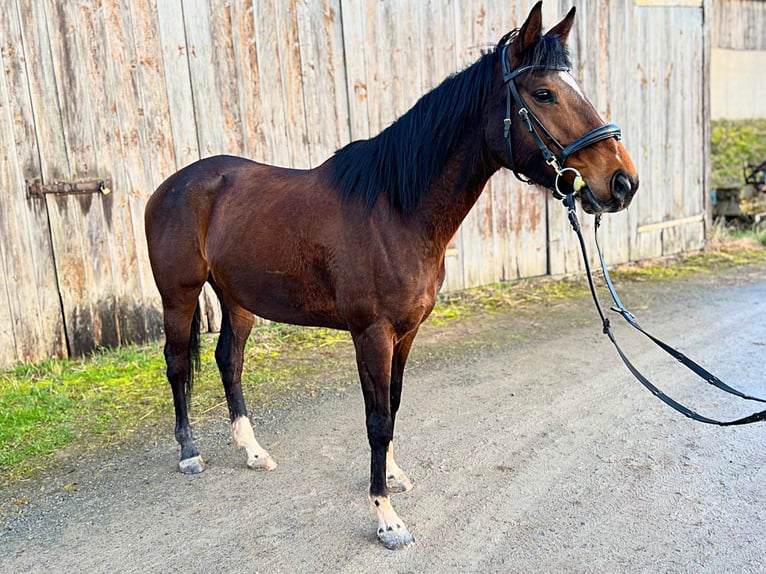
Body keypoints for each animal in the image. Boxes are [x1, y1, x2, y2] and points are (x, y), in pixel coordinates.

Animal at [146, 3, 640, 552]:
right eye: (544, 93)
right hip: (179, 295)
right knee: (177, 364)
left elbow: (395, 405)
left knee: (228, 362)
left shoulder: (406, 332)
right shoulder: (372, 334)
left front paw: (394, 478)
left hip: (238, 300)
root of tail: (173, 185)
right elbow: (377, 421)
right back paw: (189, 452)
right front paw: (386, 517)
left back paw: (252, 451)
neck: (395, 209)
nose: (622, 182)